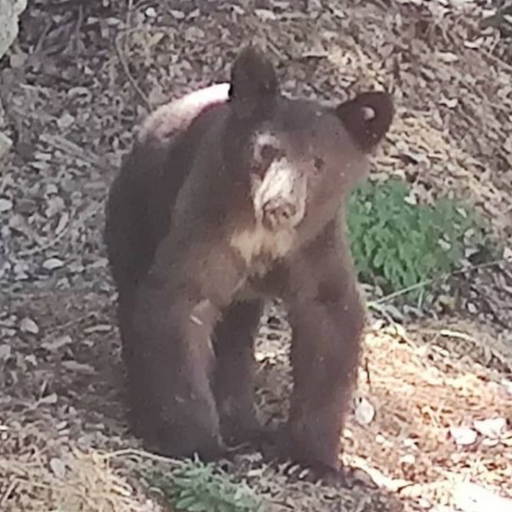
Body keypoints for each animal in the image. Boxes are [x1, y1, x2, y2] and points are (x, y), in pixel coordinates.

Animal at [104, 45, 394, 482]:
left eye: (319, 162)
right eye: (267, 149)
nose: (280, 205)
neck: (264, 239)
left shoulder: (315, 245)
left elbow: (331, 320)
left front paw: (310, 460)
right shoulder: (206, 221)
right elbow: (178, 303)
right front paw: (203, 446)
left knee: (235, 338)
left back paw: (246, 425)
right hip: (137, 212)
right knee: (134, 296)